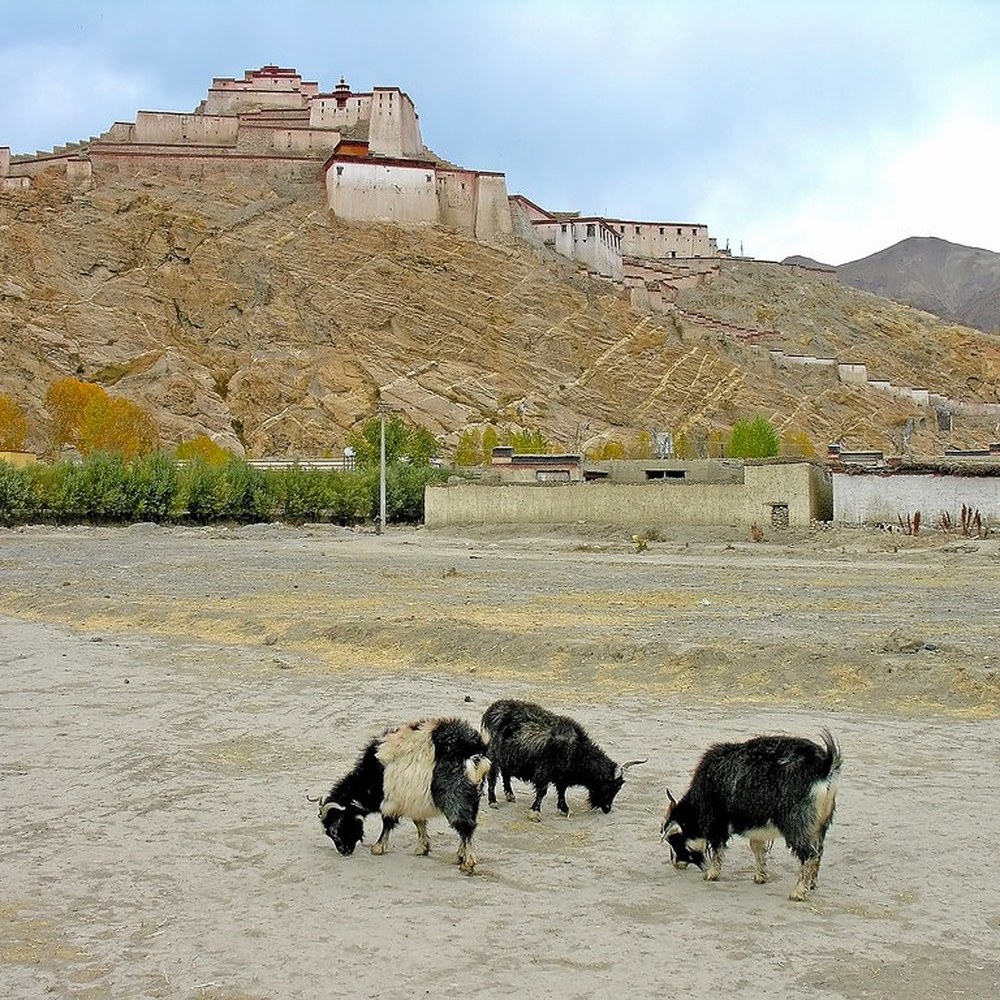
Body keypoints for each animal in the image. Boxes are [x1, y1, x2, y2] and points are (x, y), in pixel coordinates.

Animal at [312, 717, 490, 875]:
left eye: (335, 829)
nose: (344, 851)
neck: (373, 775)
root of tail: (474, 753)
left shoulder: (391, 800)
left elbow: (387, 822)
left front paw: (378, 847)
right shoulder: (413, 799)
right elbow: (419, 822)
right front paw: (422, 848)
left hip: (454, 796)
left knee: (466, 827)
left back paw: (468, 864)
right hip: (472, 798)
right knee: (469, 826)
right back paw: (460, 855)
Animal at [481, 699, 646, 820]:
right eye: (611, 787)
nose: (607, 808)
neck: (576, 749)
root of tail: (491, 710)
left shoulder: (562, 775)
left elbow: (561, 790)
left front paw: (564, 809)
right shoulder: (544, 772)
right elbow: (542, 791)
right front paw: (535, 812)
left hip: (506, 757)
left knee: (506, 773)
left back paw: (510, 795)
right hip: (494, 755)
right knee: (492, 776)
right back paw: (493, 801)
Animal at [660, 729, 842, 901]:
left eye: (674, 840)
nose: (676, 863)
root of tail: (824, 765)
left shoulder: (716, 822)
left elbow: (718, 847)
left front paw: (711, 874)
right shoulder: (755, 823)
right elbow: (756, 846)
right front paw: (760, 876)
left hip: (796, 823)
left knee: (809, 854)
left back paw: (798, 892)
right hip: (819, 825)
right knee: (818, 851)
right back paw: (811, 884)